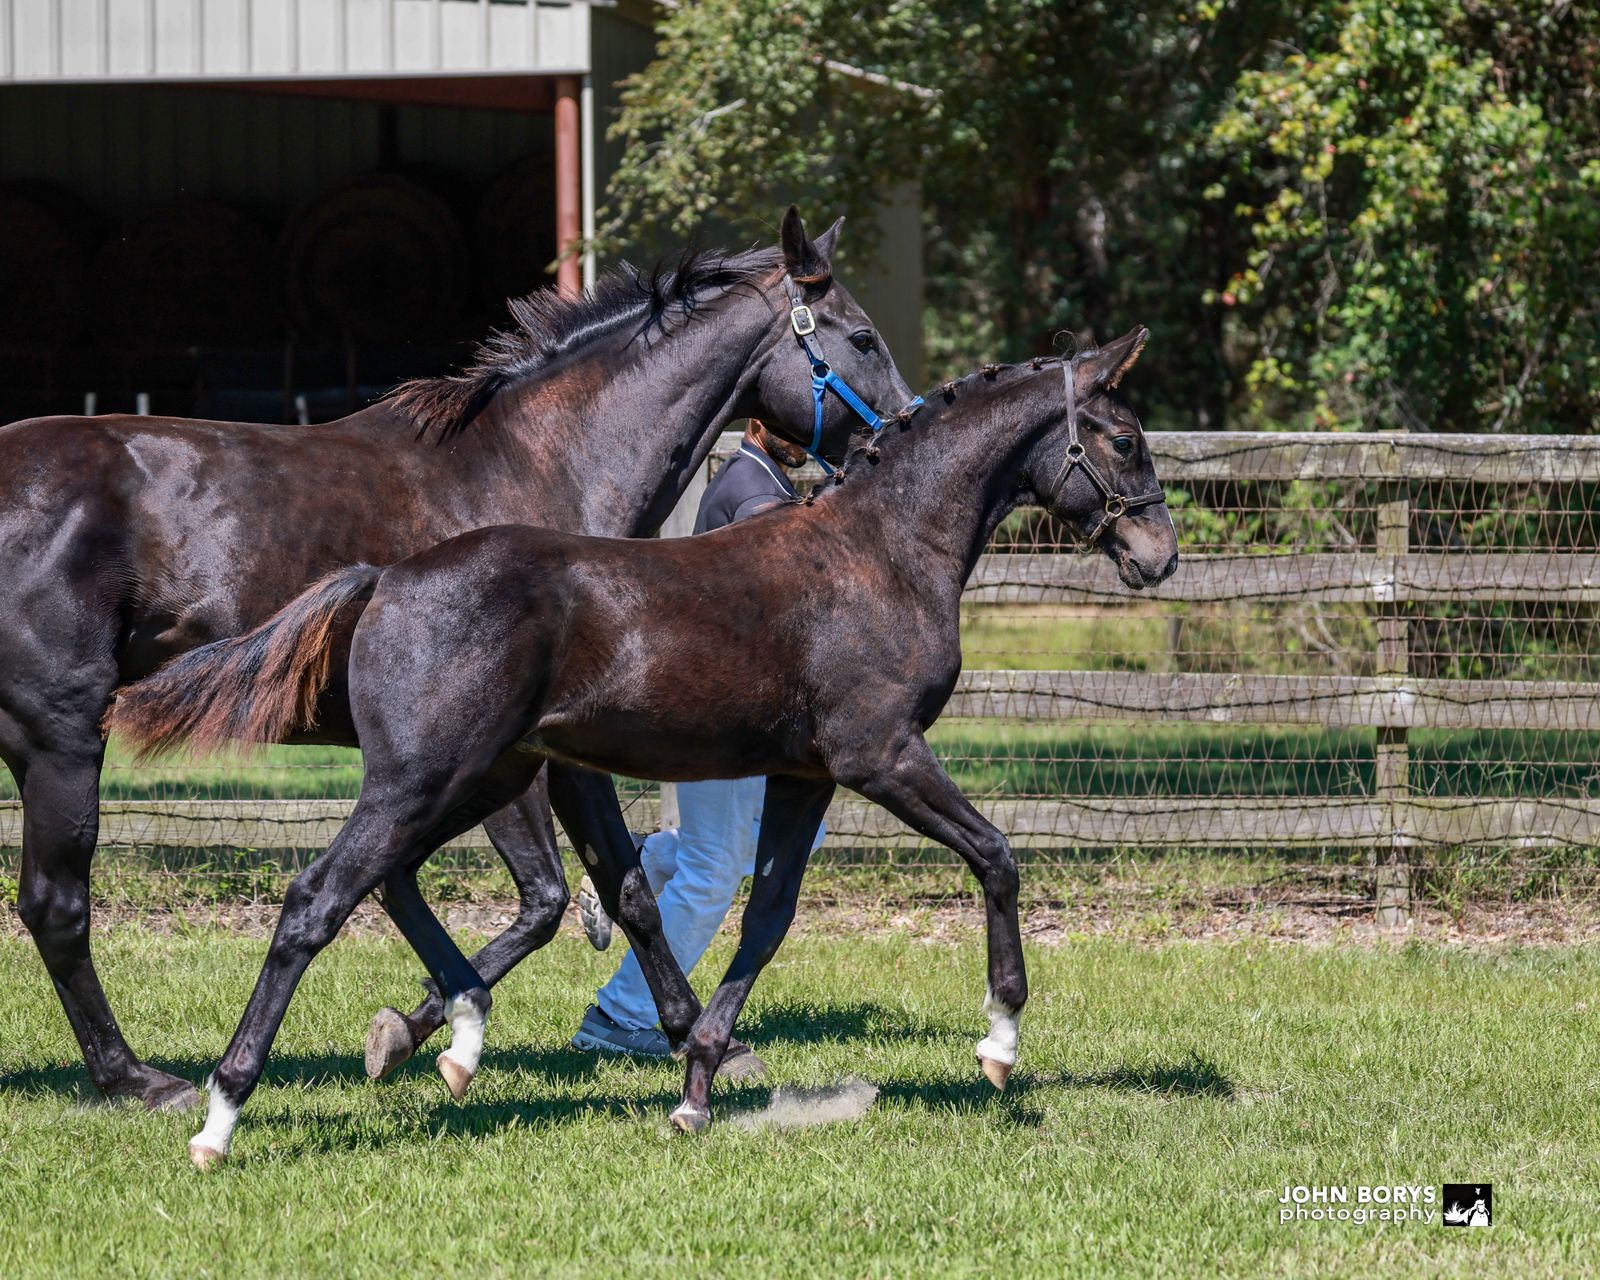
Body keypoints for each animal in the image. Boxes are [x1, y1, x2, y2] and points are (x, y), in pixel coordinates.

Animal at [0, 207, 915, 1111]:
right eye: (863, 337)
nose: (905, 432)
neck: (542, 465)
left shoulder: (543, 752)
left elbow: (606, 891)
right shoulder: (528, 752)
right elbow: (565, 897)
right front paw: (424, 1031)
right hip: (62, 738)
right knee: (56, 904)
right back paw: (137, 1081)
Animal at [110, 325, 1178, 1164]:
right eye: (1125, 438)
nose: (1160, 558)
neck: (877, 552)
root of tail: (386, 579)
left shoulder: (805, 776)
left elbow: (767, 917)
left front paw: (697, 1087)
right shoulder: (881, 755)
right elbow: (996, 857)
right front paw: (999, 1045)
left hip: (477, 778)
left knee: (395, 882)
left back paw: (453, 1038)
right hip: (429, 779)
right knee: (316, 899)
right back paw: (220, 1118)